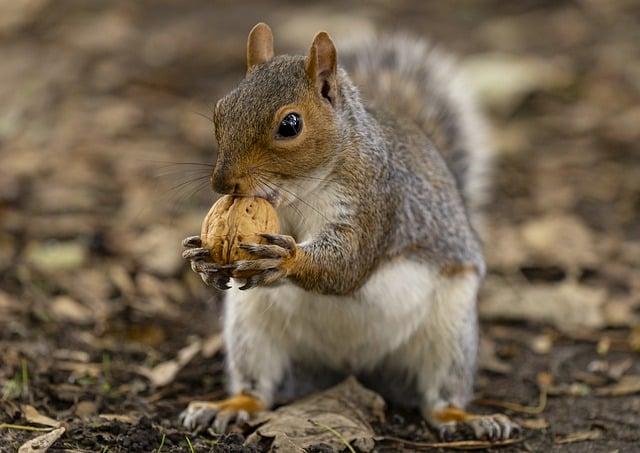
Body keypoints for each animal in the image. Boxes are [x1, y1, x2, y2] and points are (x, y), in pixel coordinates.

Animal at [179, 23, 520, 440]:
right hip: (250, 327)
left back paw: (464, 418)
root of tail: (350, 366)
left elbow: (348, 266)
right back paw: (230, 407)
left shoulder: (376, 200)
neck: (299, 193)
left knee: (440, 395)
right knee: (258, 386)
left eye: (290, 125)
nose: (222, 183)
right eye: (219, 111)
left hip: (451, 331)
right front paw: (201, 256)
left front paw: (286, 259)